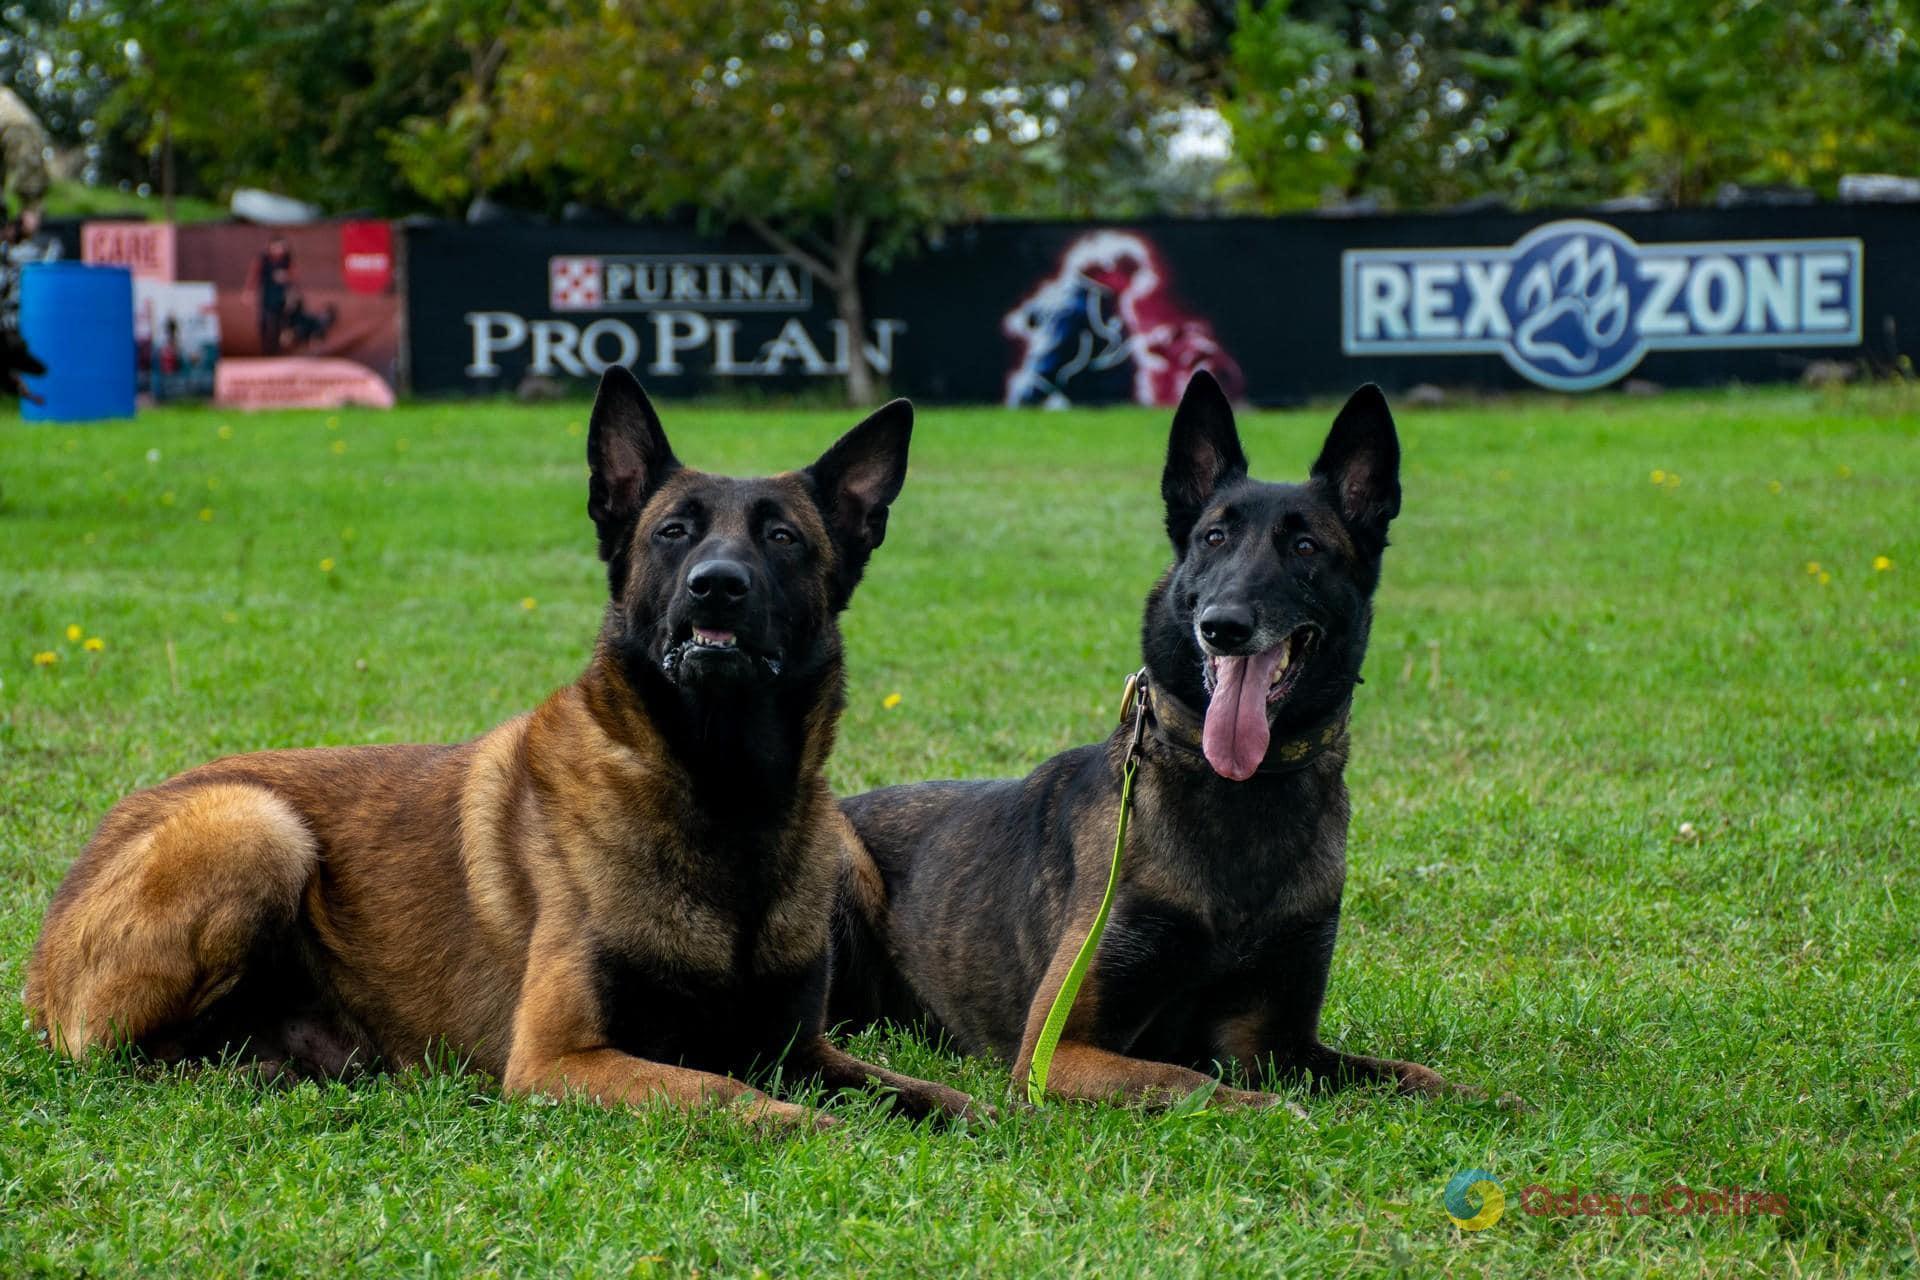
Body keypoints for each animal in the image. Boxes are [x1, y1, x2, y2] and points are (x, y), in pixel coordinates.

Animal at [837, 372, 1451, 1113]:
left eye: (1306, 549)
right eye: (1213, 539)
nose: (1224, 625)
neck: (1243, 796)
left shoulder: (1278, 1047)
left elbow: (1410, 1075)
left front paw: (1486, 1099)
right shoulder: (1056, 1054)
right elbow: (1193, 1082)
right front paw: (1280, 1112)